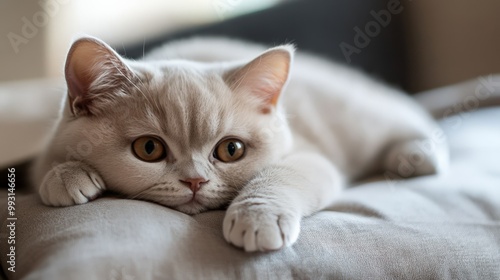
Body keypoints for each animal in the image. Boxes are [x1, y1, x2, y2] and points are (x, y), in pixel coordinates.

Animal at [31, 36, 448, 253]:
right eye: (149, 149)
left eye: (231, 150)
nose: (195, 181)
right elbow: (46, 166)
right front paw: (66, 175)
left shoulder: (311, 156)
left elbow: (281, 175)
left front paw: (257, 217)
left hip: (360, 118)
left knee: (410, 117)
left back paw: (416, 154)